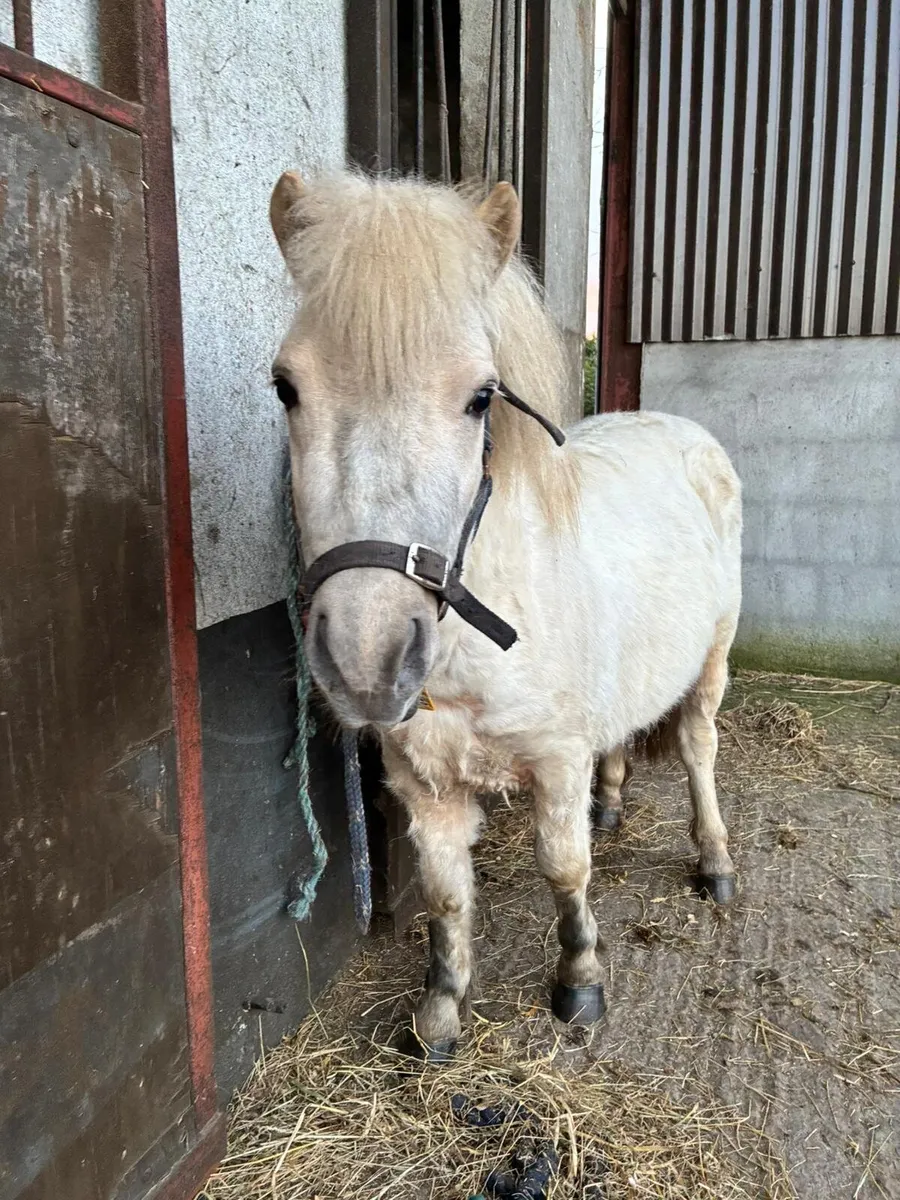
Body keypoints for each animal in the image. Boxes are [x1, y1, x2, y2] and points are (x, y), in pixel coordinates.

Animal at [268, 170, 742, 1058]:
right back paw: (613, 804)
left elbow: (564, 868)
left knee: (698, 749)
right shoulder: (424, 784)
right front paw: (439, 1016)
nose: (366, 658)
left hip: (711, 664)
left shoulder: (555, 760)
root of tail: (678, 426)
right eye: (286, 387)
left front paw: (580, 983)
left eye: (481, 397)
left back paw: (716, 865)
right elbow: (447, 897)